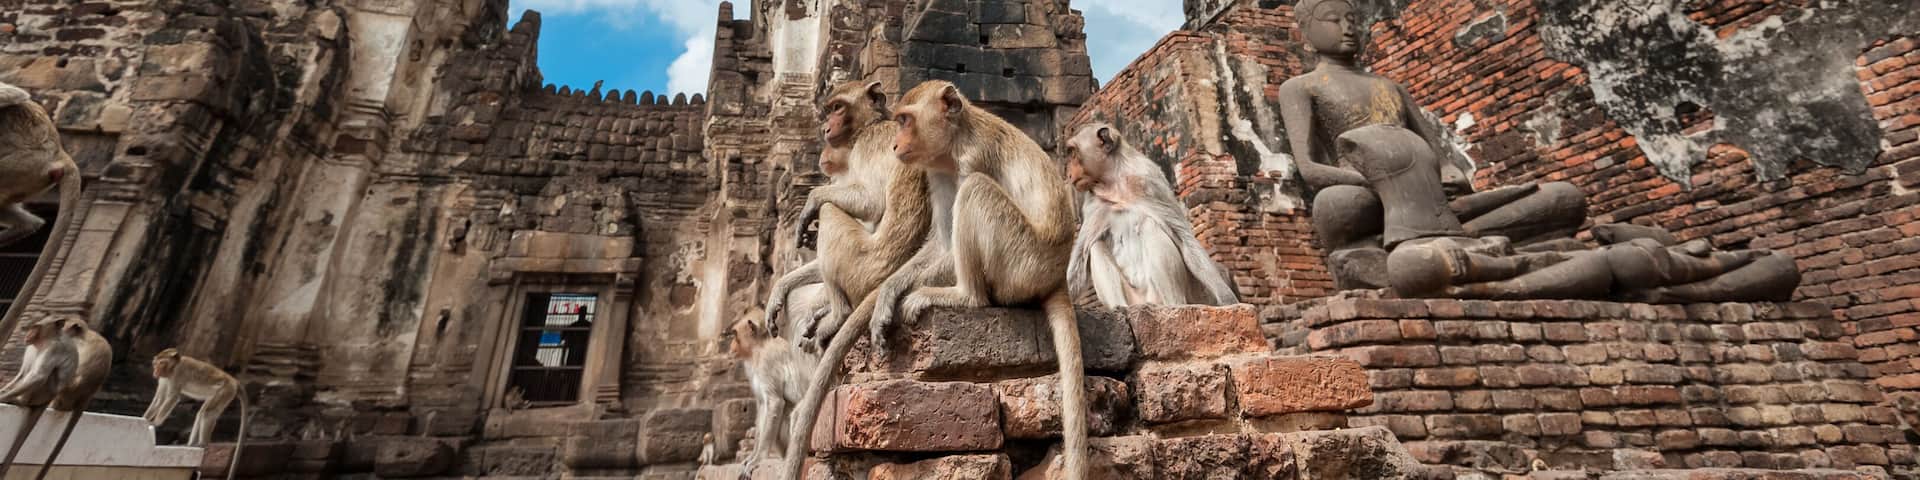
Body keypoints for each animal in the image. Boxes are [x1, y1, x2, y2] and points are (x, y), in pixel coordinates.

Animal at [0, 314, 110, 480]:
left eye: (35, 328)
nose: (28, 334)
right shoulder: (30, 348)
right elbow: (22, 374)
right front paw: (3, 391)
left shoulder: (54, 349)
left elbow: (38, 377)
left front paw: (3, 397)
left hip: (46, 394)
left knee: (48, 375)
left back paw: (20, 400)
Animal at [726, 317, 817, 478]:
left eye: (735, 335)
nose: (731, 346)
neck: (759, 347)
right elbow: (763, 406)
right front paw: (752, 457)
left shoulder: (766, 362)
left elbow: (775, 402)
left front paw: (758, 459)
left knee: (794, 414)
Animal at [780, 81, 1091, 480]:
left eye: (906, 120)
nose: (897, 145)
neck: (956, 140)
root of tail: (1055, 275)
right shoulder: (935, 172)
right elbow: (941, 243)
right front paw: (886, 296)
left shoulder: (971, 158)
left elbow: (875, 203)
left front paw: (814, 199)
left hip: (1024, 264)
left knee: (974, 192)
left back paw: (959, 297)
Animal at [1062, 123, 1239, 308]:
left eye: (1073, 152)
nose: (1068, 173)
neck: (1116, 185)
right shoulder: (1093, 205)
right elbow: (1081, 254)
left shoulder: (1151, 184)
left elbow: (1184, 240)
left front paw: (1227, 298)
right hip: (1134, 298)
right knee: (1095, 246)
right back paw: (1120, 307)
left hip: (1155, 294)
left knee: (1150, 225)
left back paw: (1174, 305)